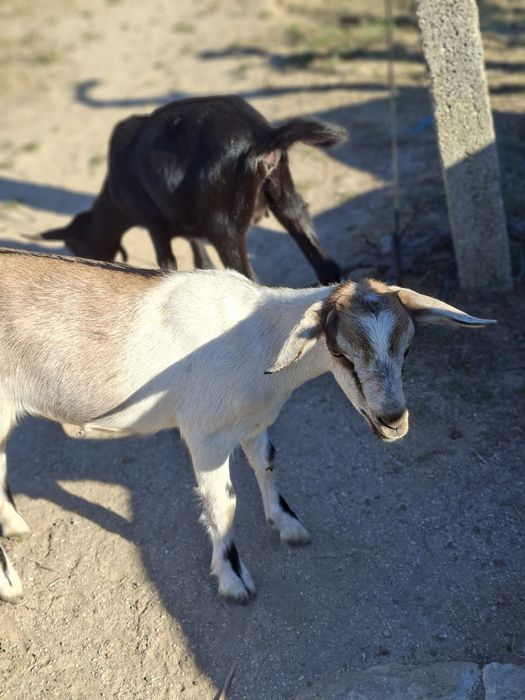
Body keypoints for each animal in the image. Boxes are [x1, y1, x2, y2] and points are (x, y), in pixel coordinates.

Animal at [0, 249, 495, 604]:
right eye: (340, 352)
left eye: (407, 348)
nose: (393, 421)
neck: (256, 336)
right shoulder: (205, 436)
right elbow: (224, 504)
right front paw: (234, 580)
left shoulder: (255, 422)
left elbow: (267, 463)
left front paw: (288, 524)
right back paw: (10, 585)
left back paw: (14, 525)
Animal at [37, 95, 346, 283]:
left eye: (74, 245)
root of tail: (262, 136)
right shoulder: (186, 219)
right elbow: (201, 259)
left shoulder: (153, 222)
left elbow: (167, 263)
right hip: (283, 190)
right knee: (313, 244)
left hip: (224, 225)